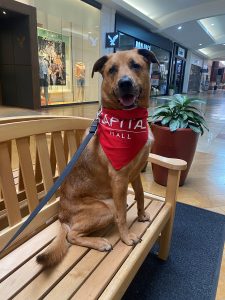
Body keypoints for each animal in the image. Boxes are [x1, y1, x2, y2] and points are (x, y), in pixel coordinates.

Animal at [37, 48, 159, 266]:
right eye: (112, 70)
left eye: (135, 65)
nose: (125, 83)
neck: (129, 120)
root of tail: (62, 216)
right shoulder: (119, 179)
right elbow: (122, 217)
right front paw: (126, 238)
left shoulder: (135, 173)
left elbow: (141, 195)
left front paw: (142, 214)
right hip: (104, 209)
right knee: (72, 235)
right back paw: (99, 242)